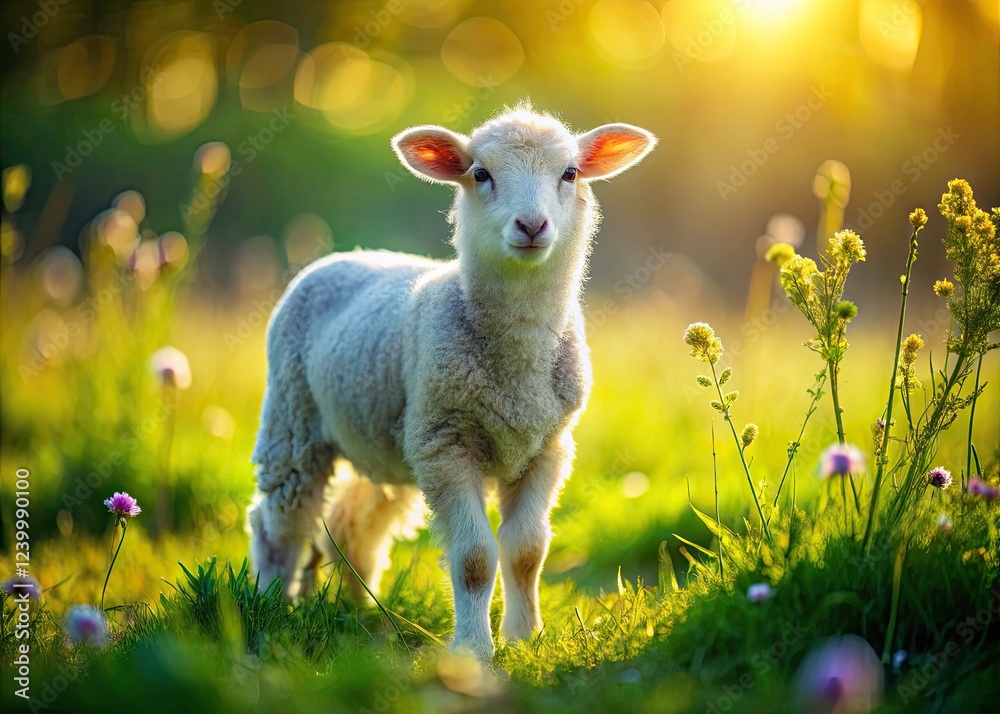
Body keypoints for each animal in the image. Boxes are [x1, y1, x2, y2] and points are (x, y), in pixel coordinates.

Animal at [248, 104, 656, 661]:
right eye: (480, 174)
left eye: (570, 173)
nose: (532, 225)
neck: (517, 363)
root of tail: (342, 254)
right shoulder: (446, 445)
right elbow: (475, 558)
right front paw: (473, 650)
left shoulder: (548, 448)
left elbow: (527, 550)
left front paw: (526, 639)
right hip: (294, 418)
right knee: (277, 520)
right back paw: (272, 605)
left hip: (385, 439)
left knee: (354, 524)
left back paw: (358, 610)